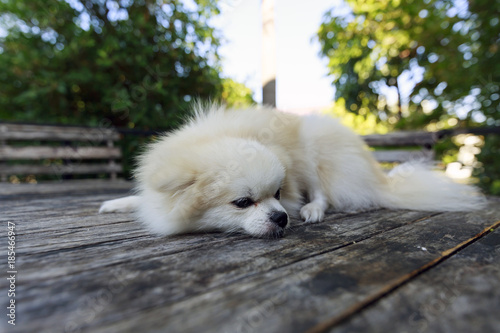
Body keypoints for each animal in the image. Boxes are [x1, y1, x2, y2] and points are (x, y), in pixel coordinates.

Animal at [99, 103, 486, 236]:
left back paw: (313, 209)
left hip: (312, 147)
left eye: (278, 193)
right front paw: (117, 203)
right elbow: (140, 199)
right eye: (243, 203)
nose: (282, 216)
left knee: (325, 193)